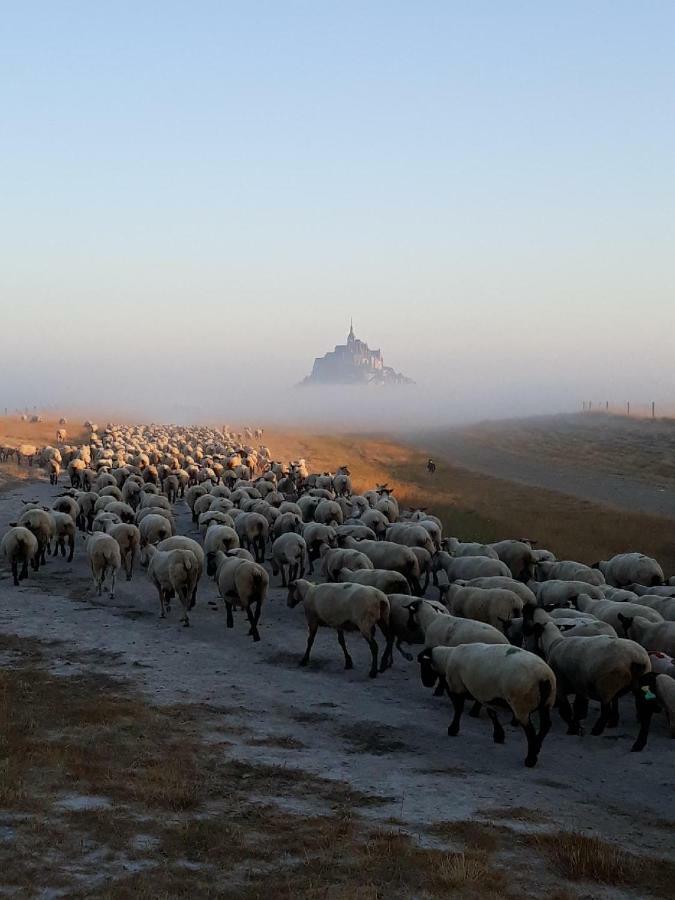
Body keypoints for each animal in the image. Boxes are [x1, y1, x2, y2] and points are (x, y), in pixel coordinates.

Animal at [420, 644, 556, 768]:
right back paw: (537, 748)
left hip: (521, 704)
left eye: (423, 664)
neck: (446, 658)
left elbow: (458, 709)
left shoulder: (458, 687)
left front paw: (453, 729)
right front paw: (499, 735)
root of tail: (544, 678)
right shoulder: (486, 694)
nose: (426, 683)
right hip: (547, 703)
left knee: (530, 731)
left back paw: (530, 759)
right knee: (546, 725)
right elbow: (492, 714)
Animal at [532, 616, 656, 748]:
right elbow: (578, 708)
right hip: (633, 684)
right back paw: (635, 739)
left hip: (606, 685)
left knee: (606, 710)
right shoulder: (580, 685)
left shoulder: (560, 685)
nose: (535, 649)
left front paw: (572, 729)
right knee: (641, 711)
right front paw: (577, 726)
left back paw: (597, 730)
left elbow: (566, 711)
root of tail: (637, 659)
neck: (554, 643)